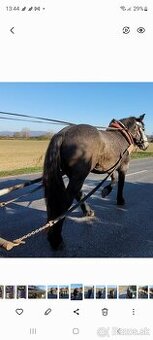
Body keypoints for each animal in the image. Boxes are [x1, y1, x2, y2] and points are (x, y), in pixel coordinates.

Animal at [42, 113, 148, 247]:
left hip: (74, 175)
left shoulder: (109, 167)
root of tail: (64, 133)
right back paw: (56, 239)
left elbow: (113, 179)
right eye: (143, 129)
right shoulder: (123, 167)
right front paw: (120, 200)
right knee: (66, 201)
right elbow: (121, 183)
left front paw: (106, 190)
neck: (123, 136)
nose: (146, 144)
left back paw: (87, 212)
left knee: (77, 193)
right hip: (79, 175)